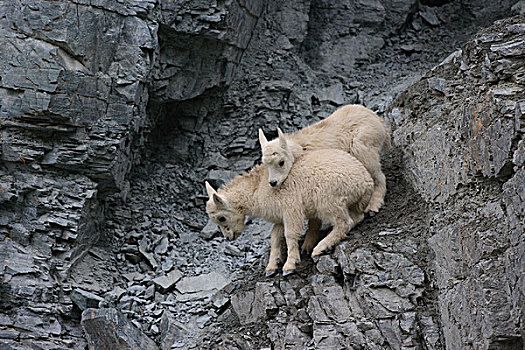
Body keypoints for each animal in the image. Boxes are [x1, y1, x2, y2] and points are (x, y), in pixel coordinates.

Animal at [205, 147, 372, 276]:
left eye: (221, 218)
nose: (228, 237)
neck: (257, 189)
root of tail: (365, 182)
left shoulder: (291, 209)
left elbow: (290, 235)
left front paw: (289, 265)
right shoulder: (280, 217)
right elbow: (275, 238)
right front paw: (272, 266)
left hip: (328, 200)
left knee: (344, 222)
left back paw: (320, 247)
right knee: (356, 217)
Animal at [258, 104, 388, 213]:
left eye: (281, 162)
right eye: (266, 164)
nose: (273, 182)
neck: (301, 148)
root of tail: (378, 120)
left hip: (362, 143)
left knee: (378, 175)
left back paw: (374, 204)